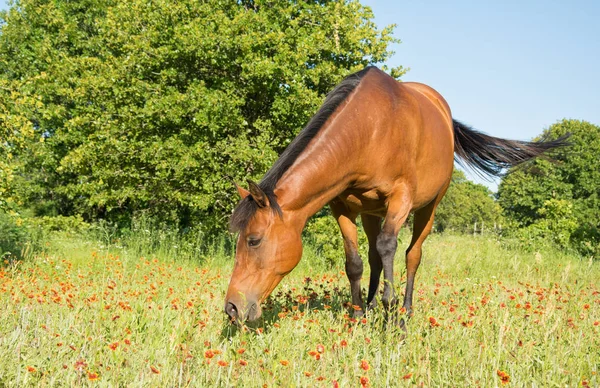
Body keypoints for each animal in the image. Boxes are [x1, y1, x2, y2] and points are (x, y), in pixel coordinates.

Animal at [224, 66, 568, 324]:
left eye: (253, 240)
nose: (231, 308)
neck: (369, 127)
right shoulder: (342, 206)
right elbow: (354, 262)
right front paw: (358, 317)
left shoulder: (400, 199)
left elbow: (390, 246)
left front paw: (392, 318)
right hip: (370, 212)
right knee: (374, 258)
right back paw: (372, 308)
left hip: (429, 208)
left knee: (411, 255)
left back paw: (404, 312)